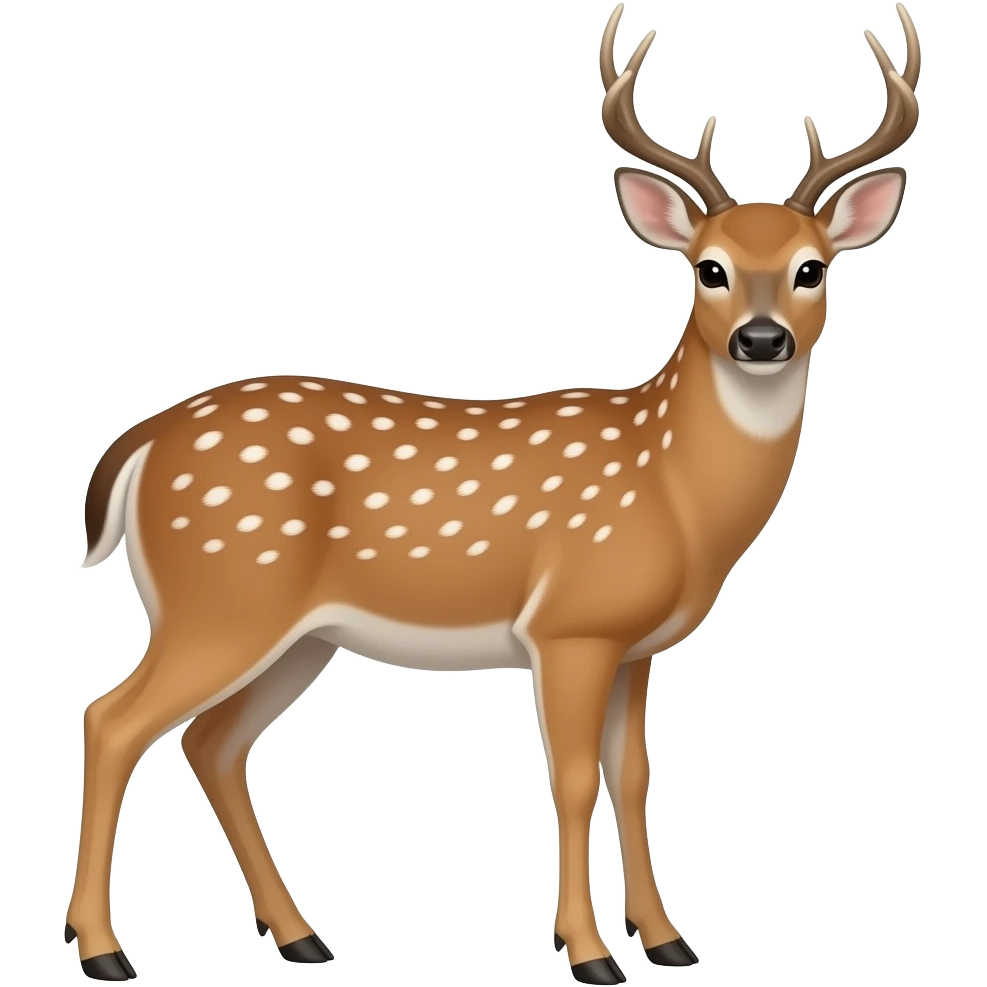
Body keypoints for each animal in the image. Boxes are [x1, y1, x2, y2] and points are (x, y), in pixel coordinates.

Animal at [65, 5, 920, 983]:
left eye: (813, 267)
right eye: (707, 268)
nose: (762, 338)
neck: (673, 492)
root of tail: (138, 444)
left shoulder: (635, 644)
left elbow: (635, 776)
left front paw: (669, 940)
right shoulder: (570, 624)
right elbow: (573, 777)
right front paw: (588, 952)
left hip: (294, 633)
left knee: (211, 741)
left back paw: (301, 935)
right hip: (220, 595)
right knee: (113, 720)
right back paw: (105, 950)